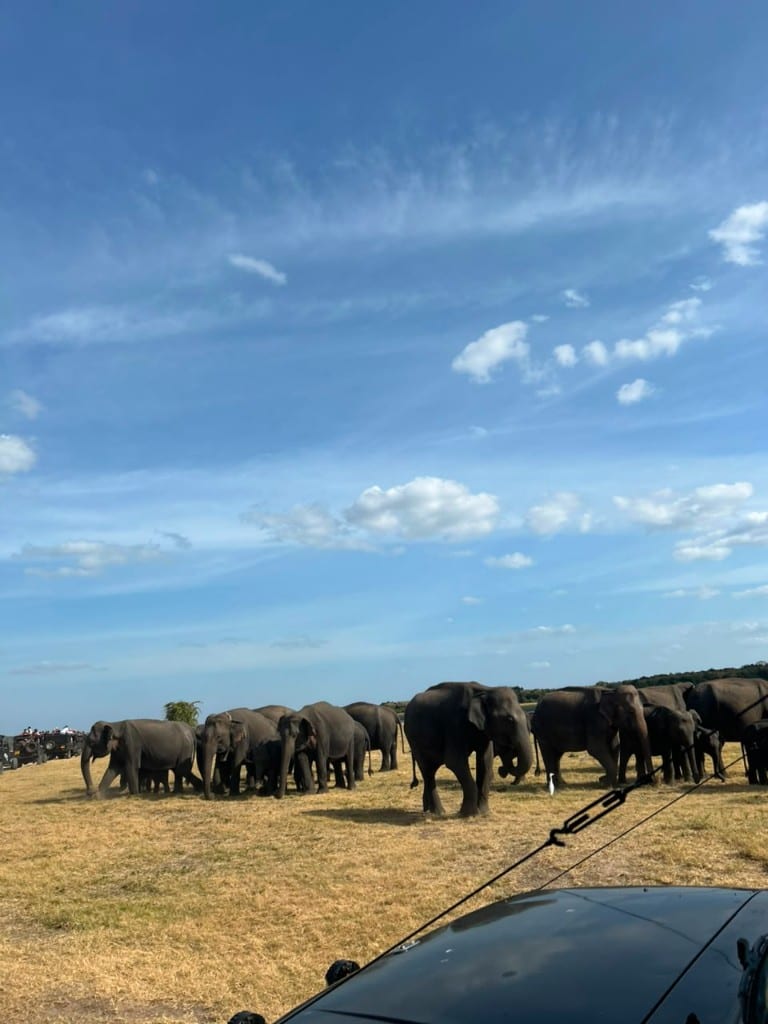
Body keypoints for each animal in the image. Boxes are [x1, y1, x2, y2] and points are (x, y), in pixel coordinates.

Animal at [405, 681, 533, 817]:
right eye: (509, 719)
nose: (501, 769)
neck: (485, 690)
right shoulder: (455, 724)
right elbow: (455, 762)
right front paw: (468, 814)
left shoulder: (483, 730)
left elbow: (485, 761)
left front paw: (483, 812)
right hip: (414, 741)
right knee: (427, 771)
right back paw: (439, 812)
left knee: (431, 771)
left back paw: (429, 809)